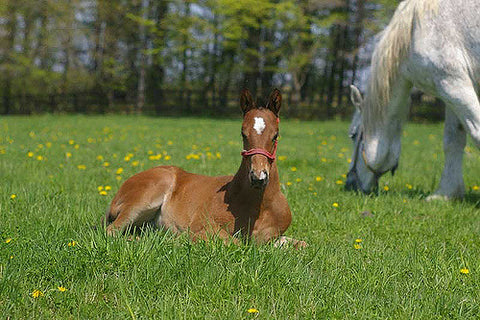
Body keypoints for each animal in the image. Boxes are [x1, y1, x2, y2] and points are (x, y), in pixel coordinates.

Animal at [105, 89, 306, 248]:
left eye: (275, 135)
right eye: (243, 133)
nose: (258, 177)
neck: (260, 207)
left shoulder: (276, 237)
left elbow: (302, 244)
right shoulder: (203, 224)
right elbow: (236, 243)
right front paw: (182, 239)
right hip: (144, 198)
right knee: (113, 231)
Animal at [346, 0, 478, 200]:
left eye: (353, 135)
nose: (349, 184)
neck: (415, 29)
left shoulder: (453, 84)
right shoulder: (451, 91)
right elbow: (453, 140)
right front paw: (446, 194)